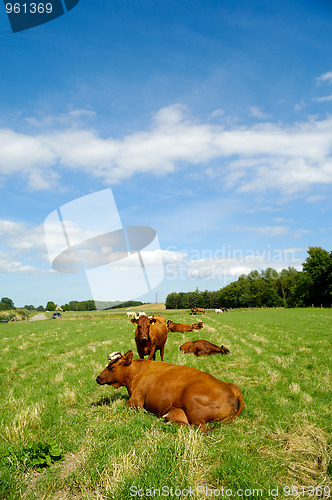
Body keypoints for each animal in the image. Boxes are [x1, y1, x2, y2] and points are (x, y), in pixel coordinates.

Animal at [96, 352, 244, 430]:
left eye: (111, 367)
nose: (97, 378)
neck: (137, 373)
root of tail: (232, 388)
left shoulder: (136, 400)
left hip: (194, 409)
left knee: (198, 428)